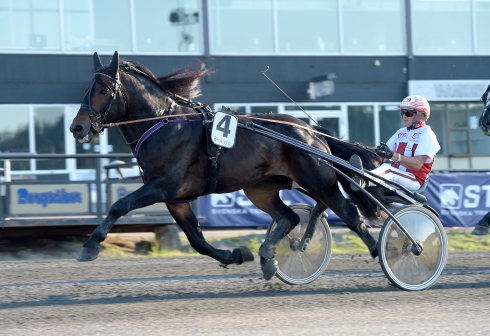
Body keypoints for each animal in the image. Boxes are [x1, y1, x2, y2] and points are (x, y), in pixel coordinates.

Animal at [71, 51, 388, 278]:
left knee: (350, 214)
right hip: (260, 188)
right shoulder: (176, 199)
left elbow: (119, 205)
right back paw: (267, 256)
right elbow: (197, 241)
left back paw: (382, 252)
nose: (77, 127)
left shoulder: (162, 187)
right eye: (86, 87)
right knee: (290, 217)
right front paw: (236, 255)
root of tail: (312, 131)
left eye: (102, 90)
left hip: (318, 181)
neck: (162, 123)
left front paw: (90, 245)